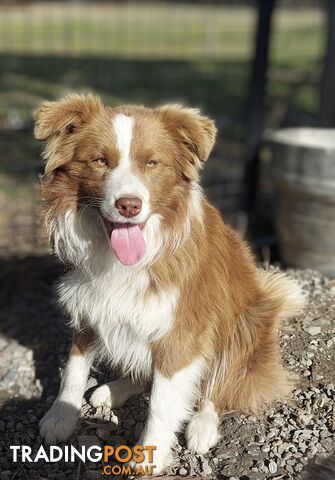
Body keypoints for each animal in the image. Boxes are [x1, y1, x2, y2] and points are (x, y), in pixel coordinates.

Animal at [35, 94, 306, 472]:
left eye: (152, 163)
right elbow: (73, 370)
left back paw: (203, 426)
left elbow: (163, 404)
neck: (120, 259)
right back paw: (113, 389)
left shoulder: (183, 330)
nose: (129, 206)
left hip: (242, 327)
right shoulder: (88, 304)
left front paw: (149, 454)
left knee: (218, 388)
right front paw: (59, 418)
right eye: (100, 160)